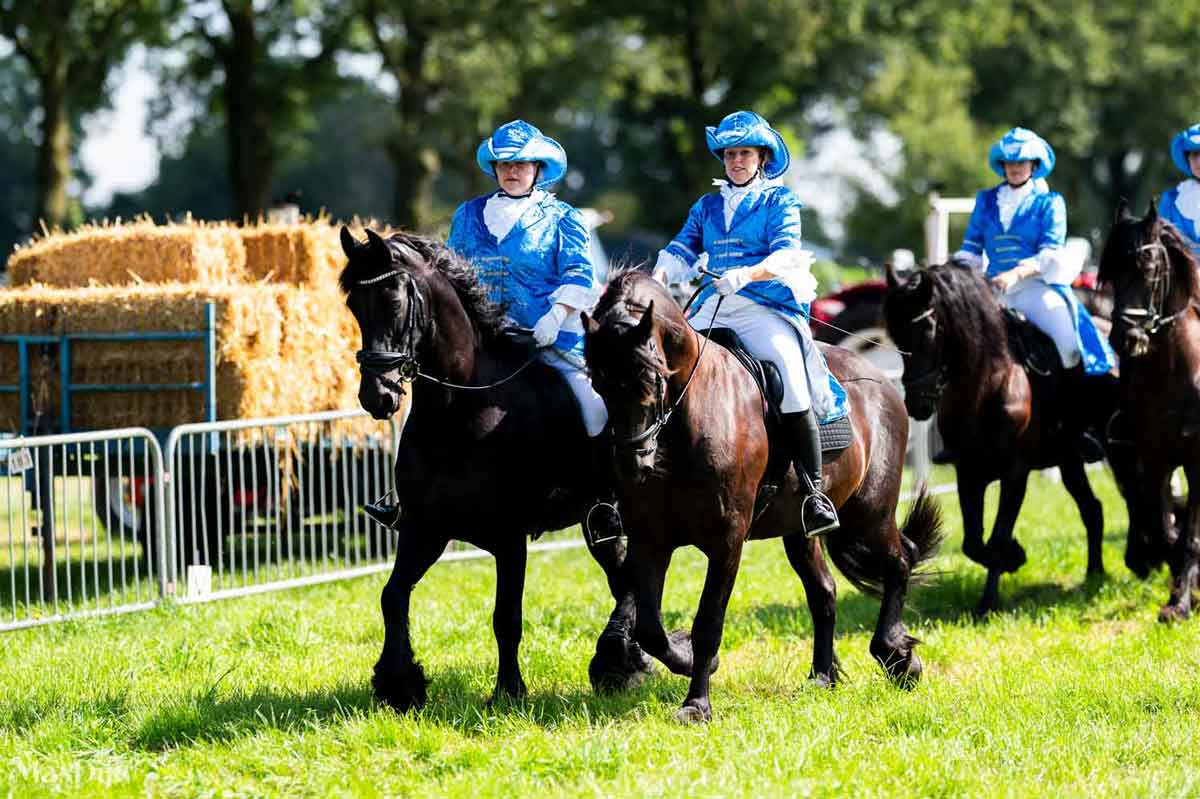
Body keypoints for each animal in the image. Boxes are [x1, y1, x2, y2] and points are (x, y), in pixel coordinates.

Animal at [338, 226, 657, 705]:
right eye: (353, 306)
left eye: (393, 300)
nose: (377, 396)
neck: (457, 412)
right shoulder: (424, 528)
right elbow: (392, 596)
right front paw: (399, 684)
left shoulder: (509, 539)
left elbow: (505, 617)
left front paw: (509, 691)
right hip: (597, 517)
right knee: (621, 573)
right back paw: (624, 661)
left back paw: (616, 658)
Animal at [583, 268, 945, 719]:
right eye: (597, 383)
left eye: (652, 376)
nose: (634, 462)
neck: (686, 423)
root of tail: (881, 377)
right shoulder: (650, 538)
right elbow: (650, 627)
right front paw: (685, 660)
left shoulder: (727, 540)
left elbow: (708, 622)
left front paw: (697, 705)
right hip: (800, 530)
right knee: (824, 591)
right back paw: (822, 676)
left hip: (869, 514)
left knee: (898, 562)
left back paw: (898, 657)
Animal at [883, 257, 1142, 611]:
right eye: (896, 336)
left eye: (927, 330)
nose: (918, 404)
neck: (986, 385)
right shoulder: (969, 473)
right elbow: (973, 542)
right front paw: (1014, 558)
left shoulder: (1015, 473)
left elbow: (997, 536)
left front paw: (989, 600)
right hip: (1069, 460)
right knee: (1093, 509)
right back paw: (1094, 573)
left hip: (1119, 449)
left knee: (1133, 497)